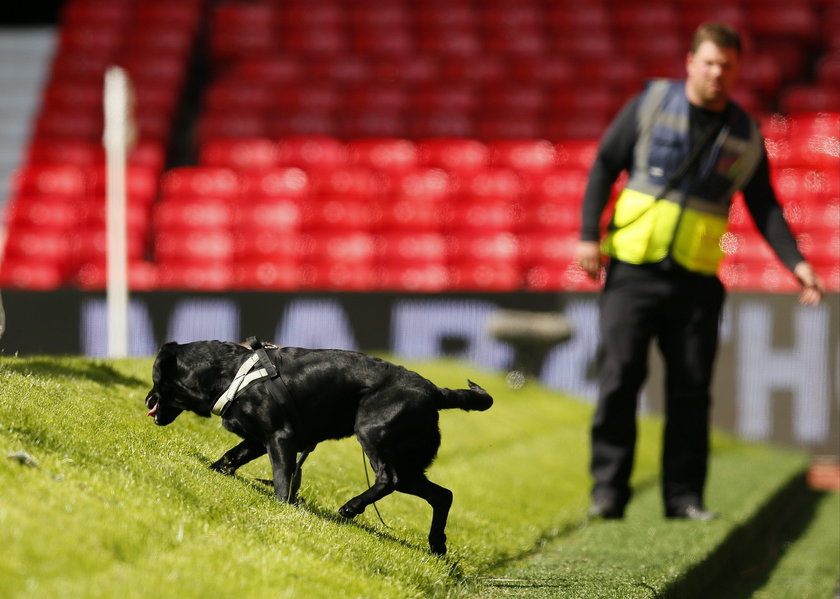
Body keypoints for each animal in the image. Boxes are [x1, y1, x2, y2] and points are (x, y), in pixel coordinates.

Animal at [144, 340, 492, 556]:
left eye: (155, 380)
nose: (146, 400)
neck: (229, 372)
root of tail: (435, 391)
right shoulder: (257, 439)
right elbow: (231, 456)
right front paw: (214, 471)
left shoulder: (280, 438)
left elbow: (282, 480)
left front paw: (284, 507)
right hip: (410, 464)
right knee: (442, 495)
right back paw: (437, 544)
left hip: (372, 431)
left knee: (388, 479)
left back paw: (352, 506)